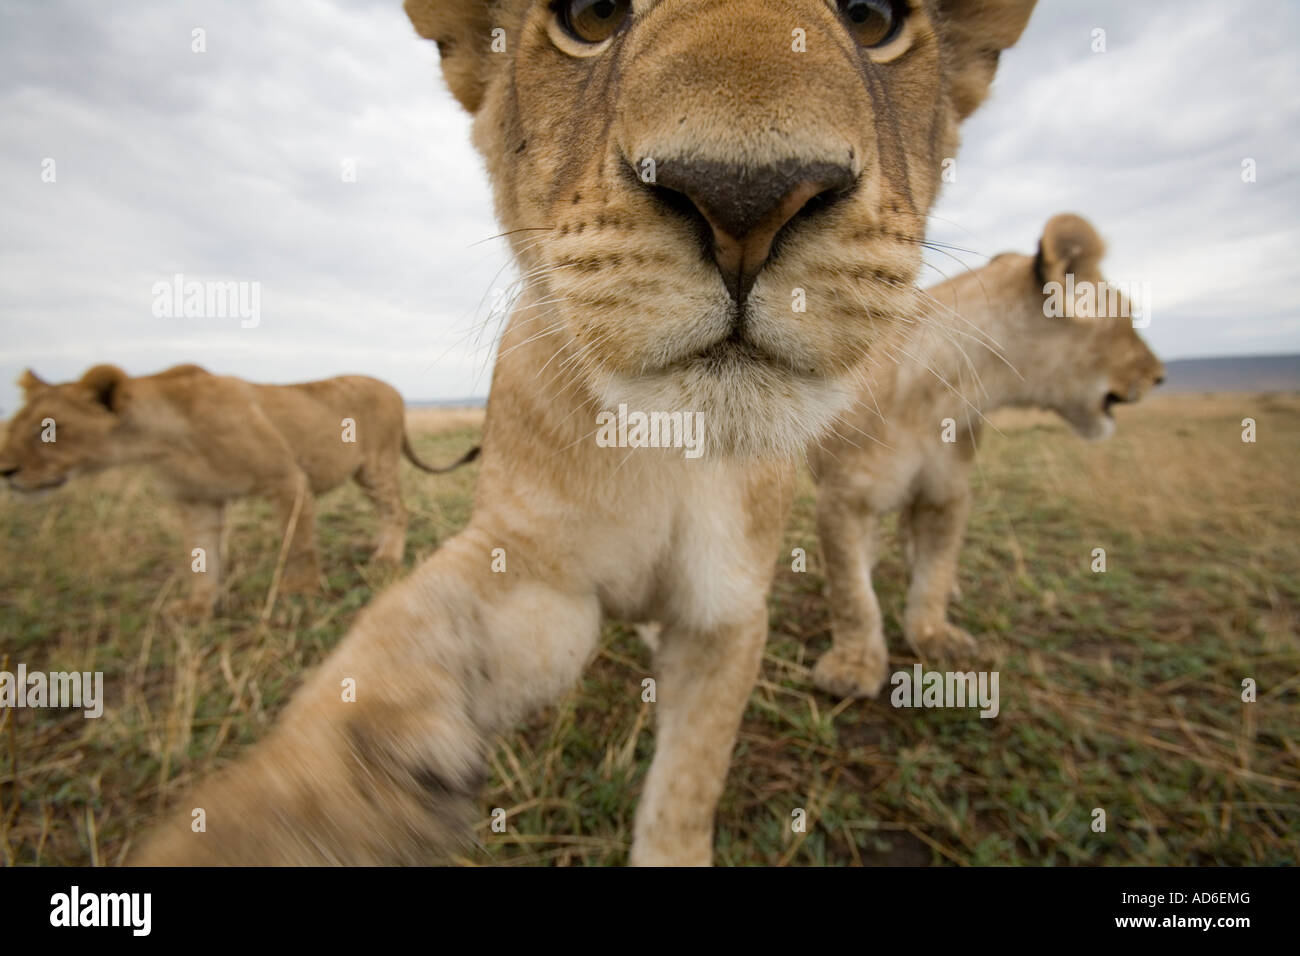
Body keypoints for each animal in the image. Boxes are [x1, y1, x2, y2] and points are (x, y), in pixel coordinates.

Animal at [0, 363, 479, 617]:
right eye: (15, 426)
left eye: (48, 429)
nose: (5, 470)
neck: (162, 442)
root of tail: (394, 387)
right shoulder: (197, 500)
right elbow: (201, 557)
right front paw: (197, 607)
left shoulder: (286, 478)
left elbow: (298, 544)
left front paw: (298, 592)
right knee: (386, 510)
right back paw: (376, 547)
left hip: (377, 462)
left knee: (398, 508)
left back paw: (387, 558)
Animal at [132, 0, 1036, 865]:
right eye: (591, 17)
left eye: (872, 19)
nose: (744, 202)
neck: (669, 448)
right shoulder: (532, 574)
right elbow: (387, 665)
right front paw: (269, 817)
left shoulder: (729, 610)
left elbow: (689, 780)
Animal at [809, 213, 1165, 699]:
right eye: (1126, 317)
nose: (1160, 376)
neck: (950, 390)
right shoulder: (842, 498)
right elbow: (852, 592)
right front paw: (854, 666)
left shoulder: (947, 493)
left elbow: (935, 572)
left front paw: (933, 633)